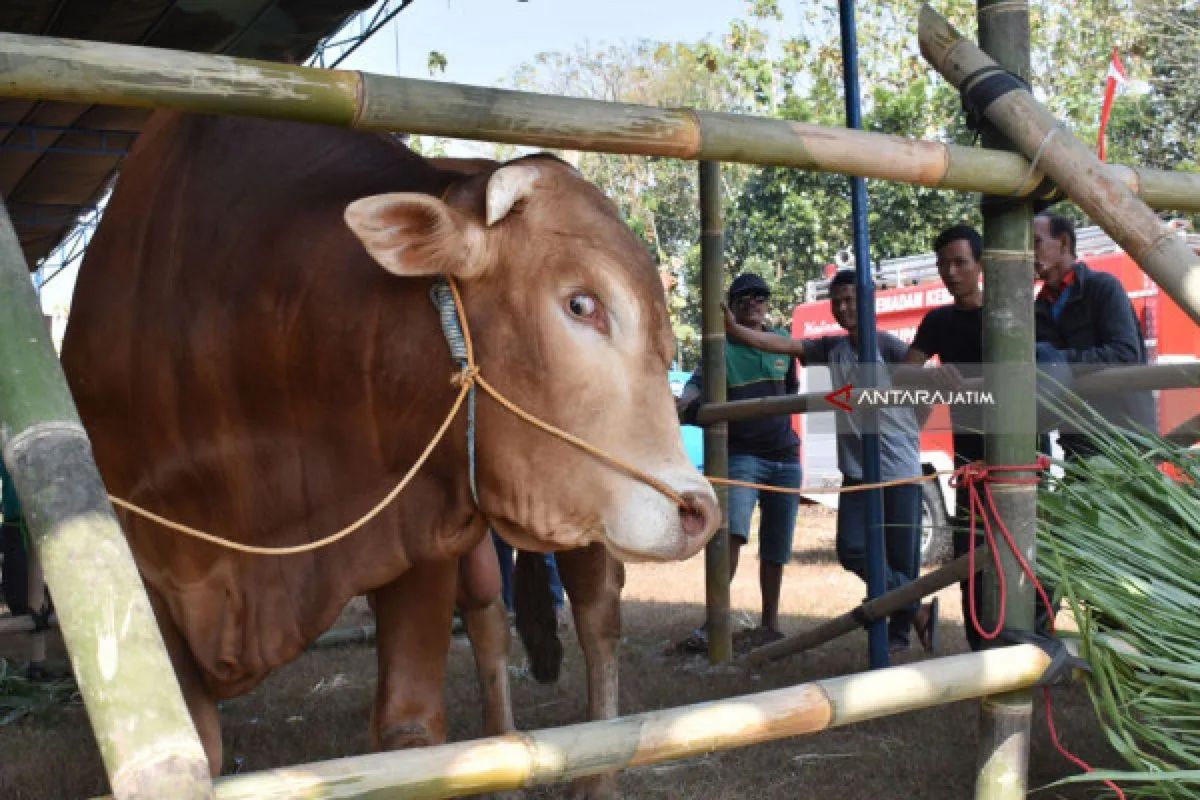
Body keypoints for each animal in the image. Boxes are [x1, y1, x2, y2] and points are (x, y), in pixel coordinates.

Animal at [60, 110, 715, 777]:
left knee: (597, 618)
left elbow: (410, 731)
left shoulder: (419, 535)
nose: (699, 510)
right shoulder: (141, 567)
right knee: (489, 618)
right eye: (581, 303)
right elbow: (199, 747)